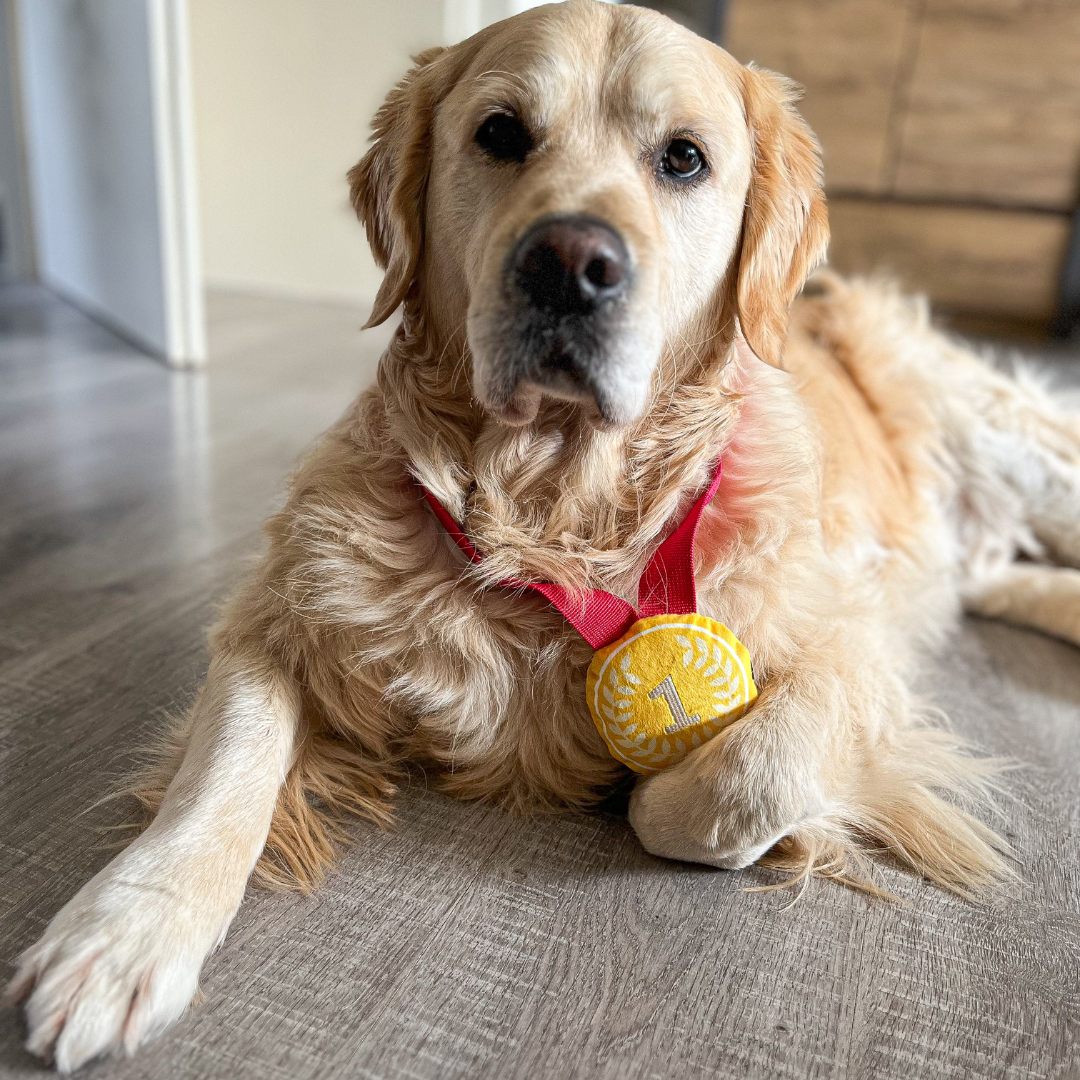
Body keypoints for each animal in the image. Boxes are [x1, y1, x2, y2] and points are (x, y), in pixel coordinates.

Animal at [8, 2, 1080, 1071]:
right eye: (500, 134)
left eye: (683, 158)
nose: (570, 263)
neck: (555, 508)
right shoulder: (282, 618)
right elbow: (224, 769)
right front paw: (125, 931)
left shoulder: (851, 643)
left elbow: (747, 777)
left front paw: (662, 797)